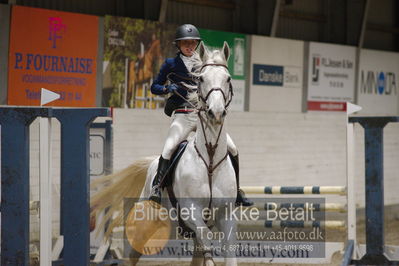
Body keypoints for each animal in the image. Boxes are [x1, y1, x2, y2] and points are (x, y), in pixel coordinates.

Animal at [91, 42, 238, 266]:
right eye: (201, 79)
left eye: (228, 78)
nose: (216, 113)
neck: (210, 159)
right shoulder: (191, 211)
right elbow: (206, 237)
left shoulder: (225, 215)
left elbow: (227, 250)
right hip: (147, 223)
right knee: (133, 253)